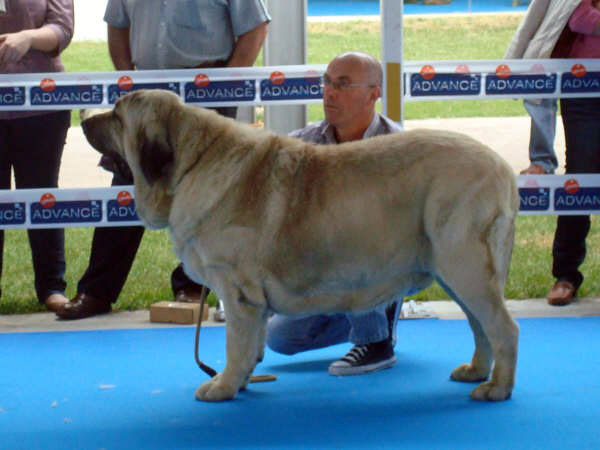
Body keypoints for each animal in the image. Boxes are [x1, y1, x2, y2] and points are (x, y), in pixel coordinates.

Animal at [83, 89, 520, 402]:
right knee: (481, 327)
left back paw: (497, 388)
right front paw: (243, 381)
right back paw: (477, 372)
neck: (191, 162)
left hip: (464, 266)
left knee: (503, 328)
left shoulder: (238, 294)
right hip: (455, 275)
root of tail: (503, 168)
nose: (86, 118)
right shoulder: (252, 303)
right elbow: (252, 345)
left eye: (117, 116)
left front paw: (222, 386)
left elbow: (235, 345)